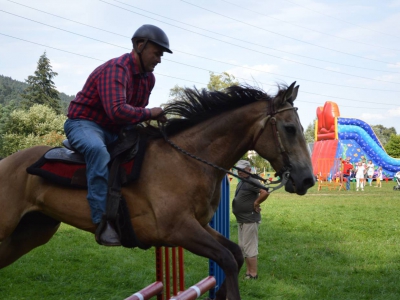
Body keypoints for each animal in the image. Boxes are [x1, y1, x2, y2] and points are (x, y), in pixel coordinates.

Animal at [0, 82, 314, 300]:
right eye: (289, 128)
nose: (307, 180)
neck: (188, 159)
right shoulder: (179, 230)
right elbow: (226, 258)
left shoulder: (198, 226)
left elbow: (235, 254)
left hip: (32, 232)